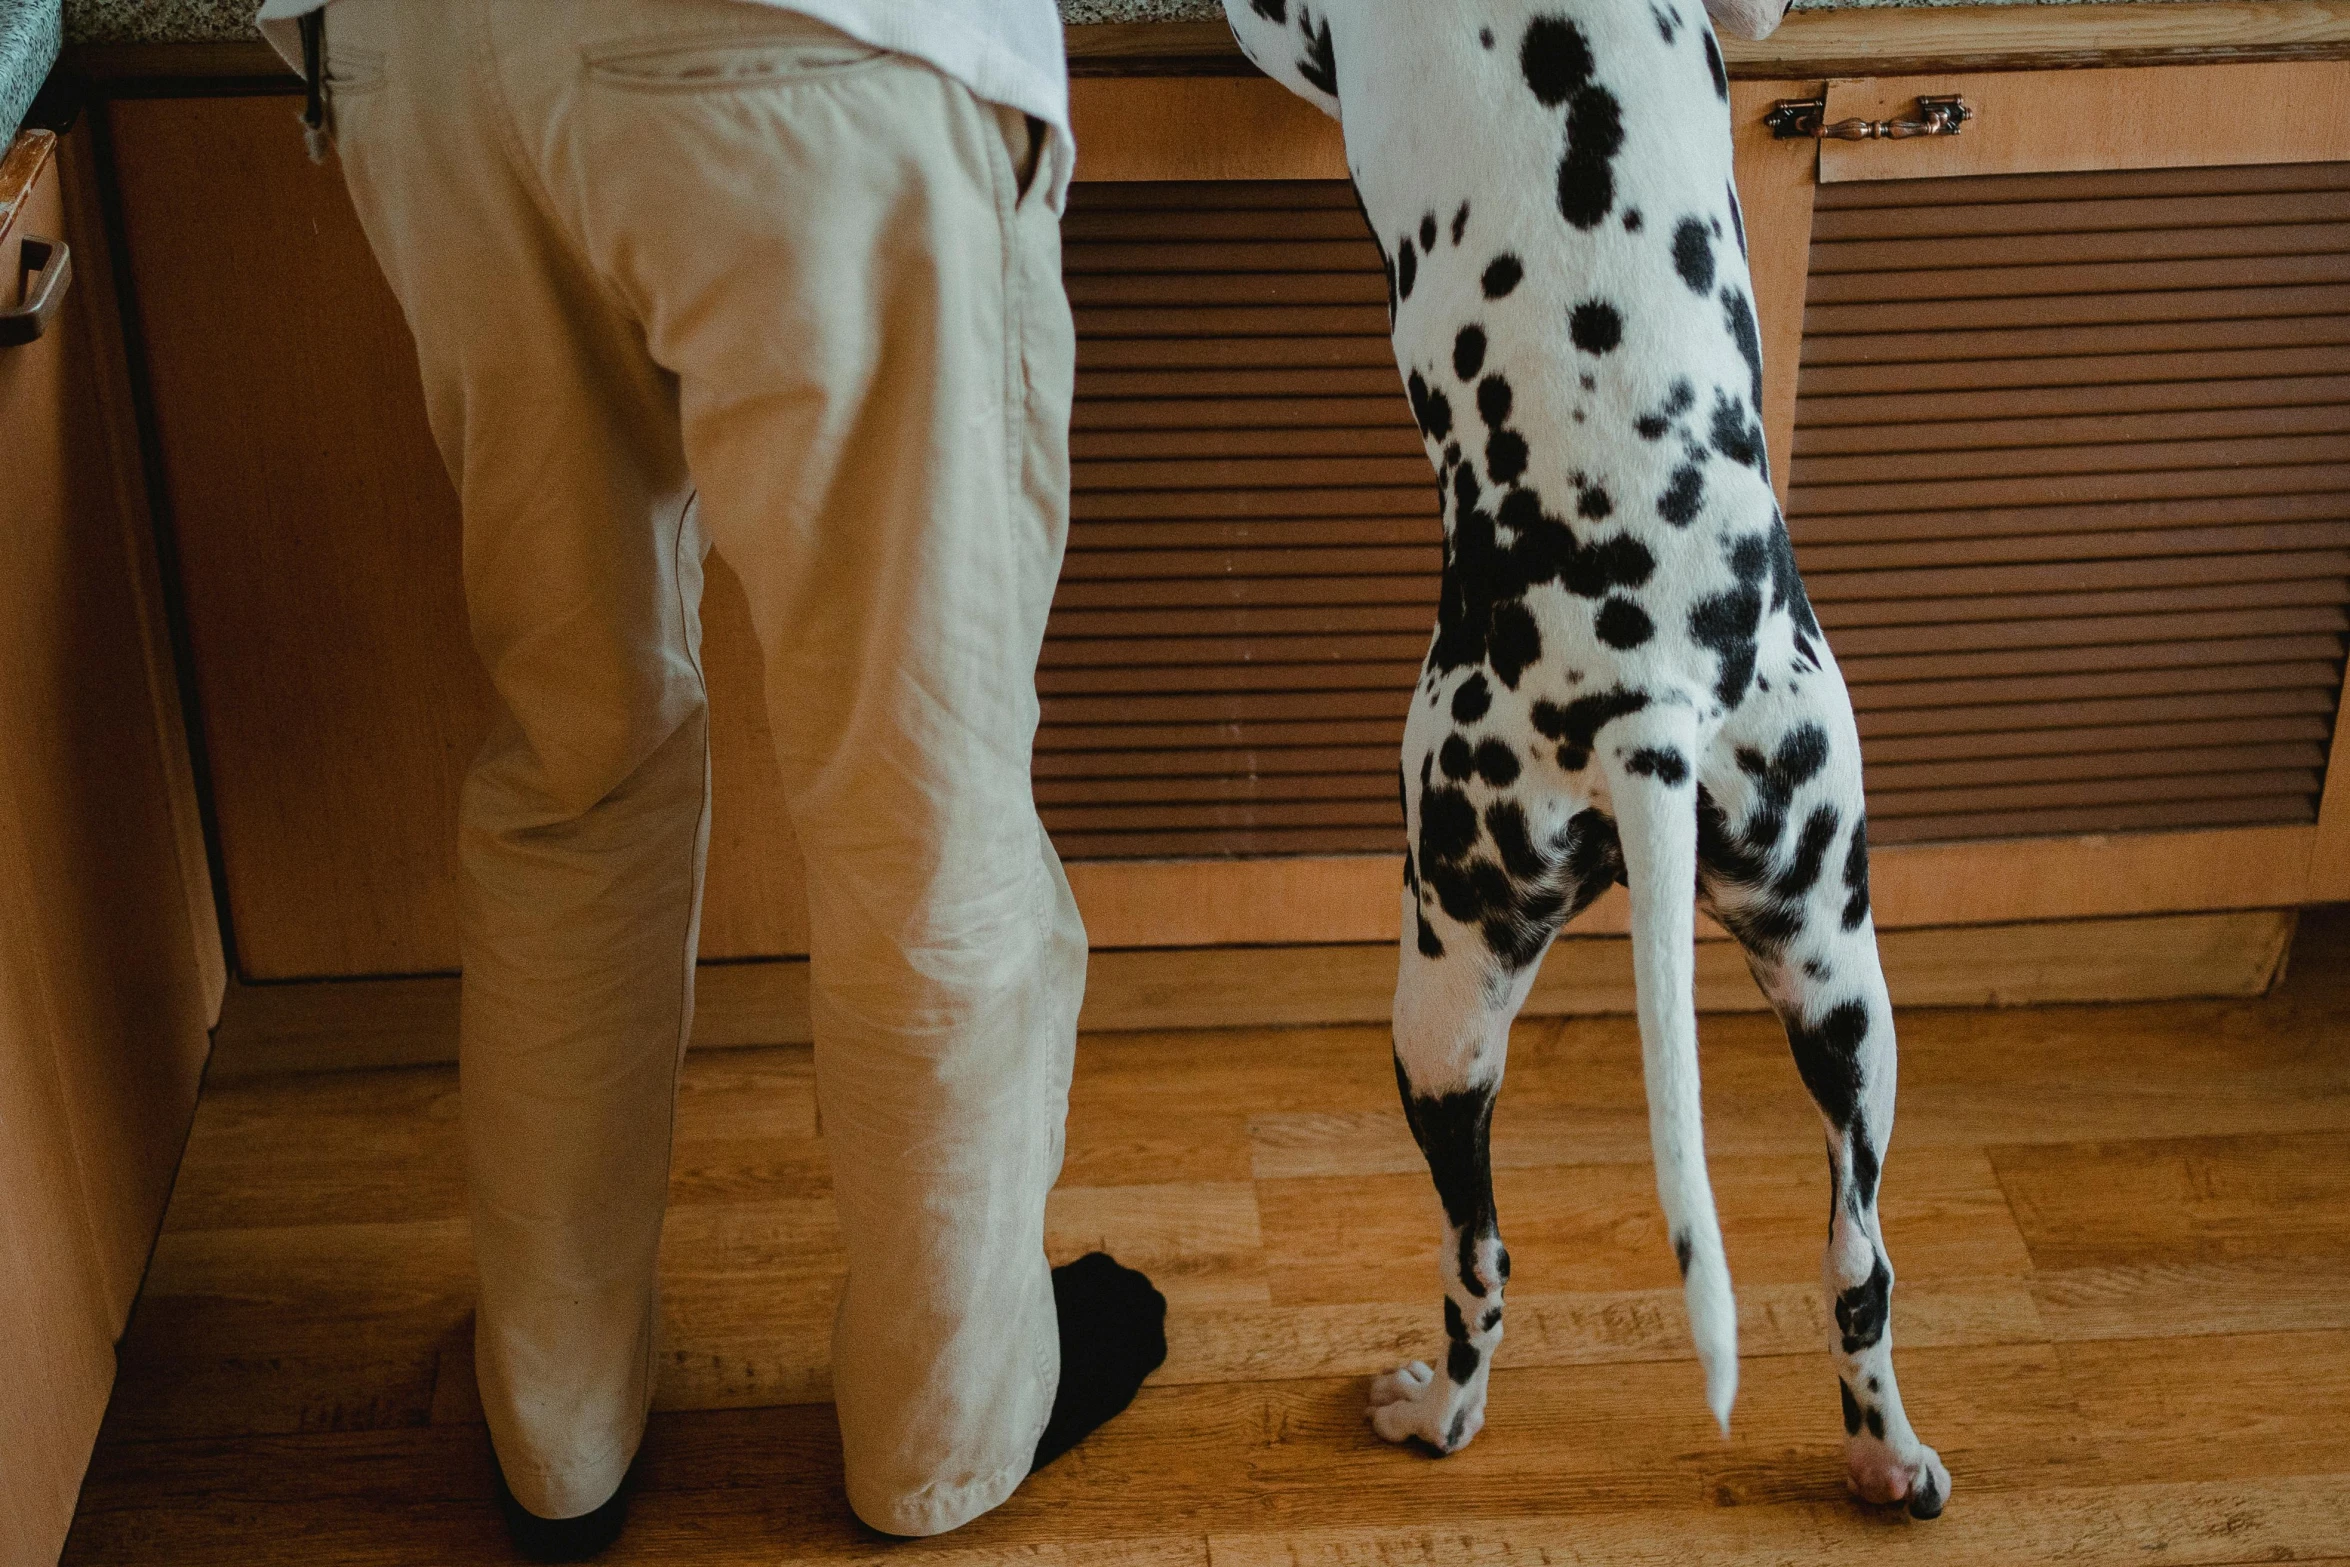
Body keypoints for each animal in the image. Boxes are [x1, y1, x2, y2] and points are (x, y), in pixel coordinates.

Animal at [1222, 0, 1955, 1522]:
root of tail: (1648, 702)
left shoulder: (1279, 27)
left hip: (1443, 998)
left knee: (1478, 1257)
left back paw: (1431, 1410)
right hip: (1841, 983)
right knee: (1857, 1259)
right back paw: (1880, 1449)